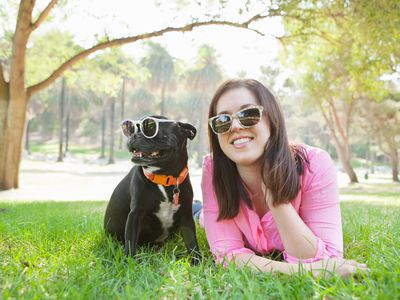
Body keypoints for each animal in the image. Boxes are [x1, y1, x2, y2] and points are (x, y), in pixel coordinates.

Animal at [104, 115, 200, 262]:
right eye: (130, 129)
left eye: (150, 128)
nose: (133, 135)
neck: (164, 178)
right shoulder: (135, 214)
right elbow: (130, 242)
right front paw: (129, 263)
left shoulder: (186, 217)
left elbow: (192, 244)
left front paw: (198, 262)